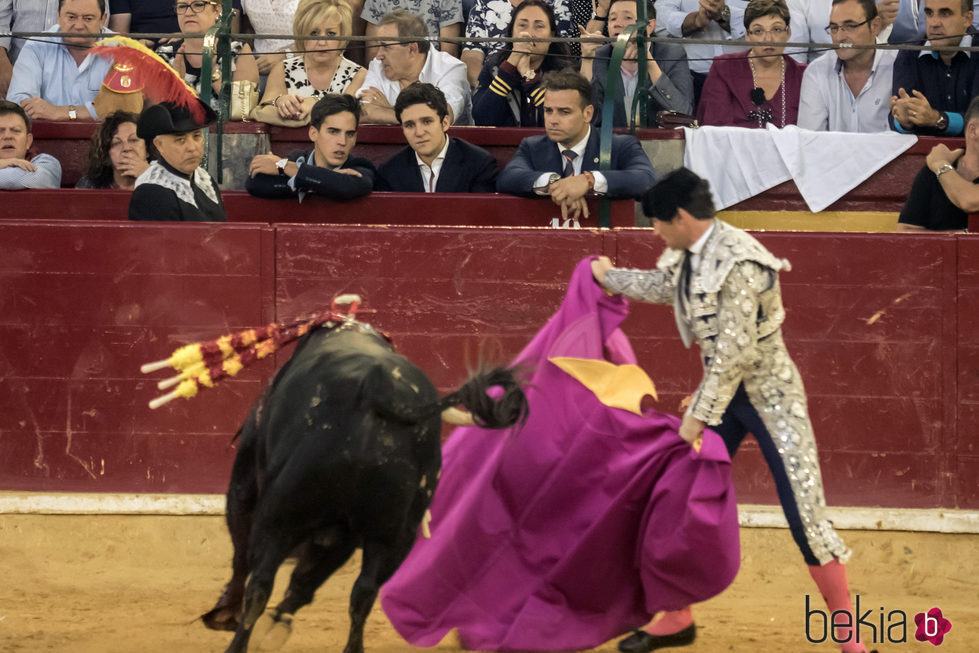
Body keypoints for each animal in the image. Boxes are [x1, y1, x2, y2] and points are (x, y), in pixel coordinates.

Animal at [198, 322, 528, 652]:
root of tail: (379, 393)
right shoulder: (348, 535)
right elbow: (307, 582)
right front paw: (275, 625)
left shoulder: (248, 487)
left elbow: (245, 553)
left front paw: (228, 613)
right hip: (394, 536)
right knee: (364, 592)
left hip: (279, 517)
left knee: (259, 581)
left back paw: (238, 640)